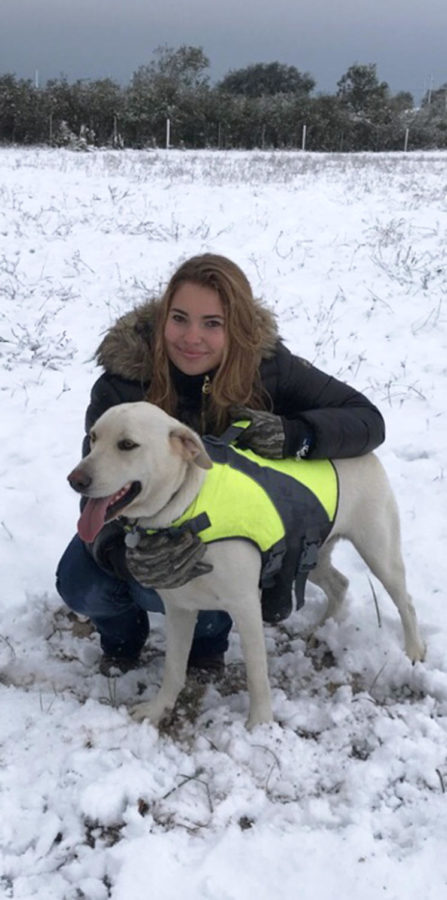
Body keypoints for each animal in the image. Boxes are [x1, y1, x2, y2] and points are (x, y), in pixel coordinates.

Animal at [67, 400, 428, 732]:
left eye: (127, 444)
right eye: (94, 437)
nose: (75, 479)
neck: (185, 507)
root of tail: (367, 454)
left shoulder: (245, 605)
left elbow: (257, 673)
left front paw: (260, 724)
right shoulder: (180, 607)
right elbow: (173, 667)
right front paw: (158, 708)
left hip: (378, 551)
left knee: (405, 601)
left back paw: (413, 650)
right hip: (309, 555)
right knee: (340, 584)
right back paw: (320, 630)